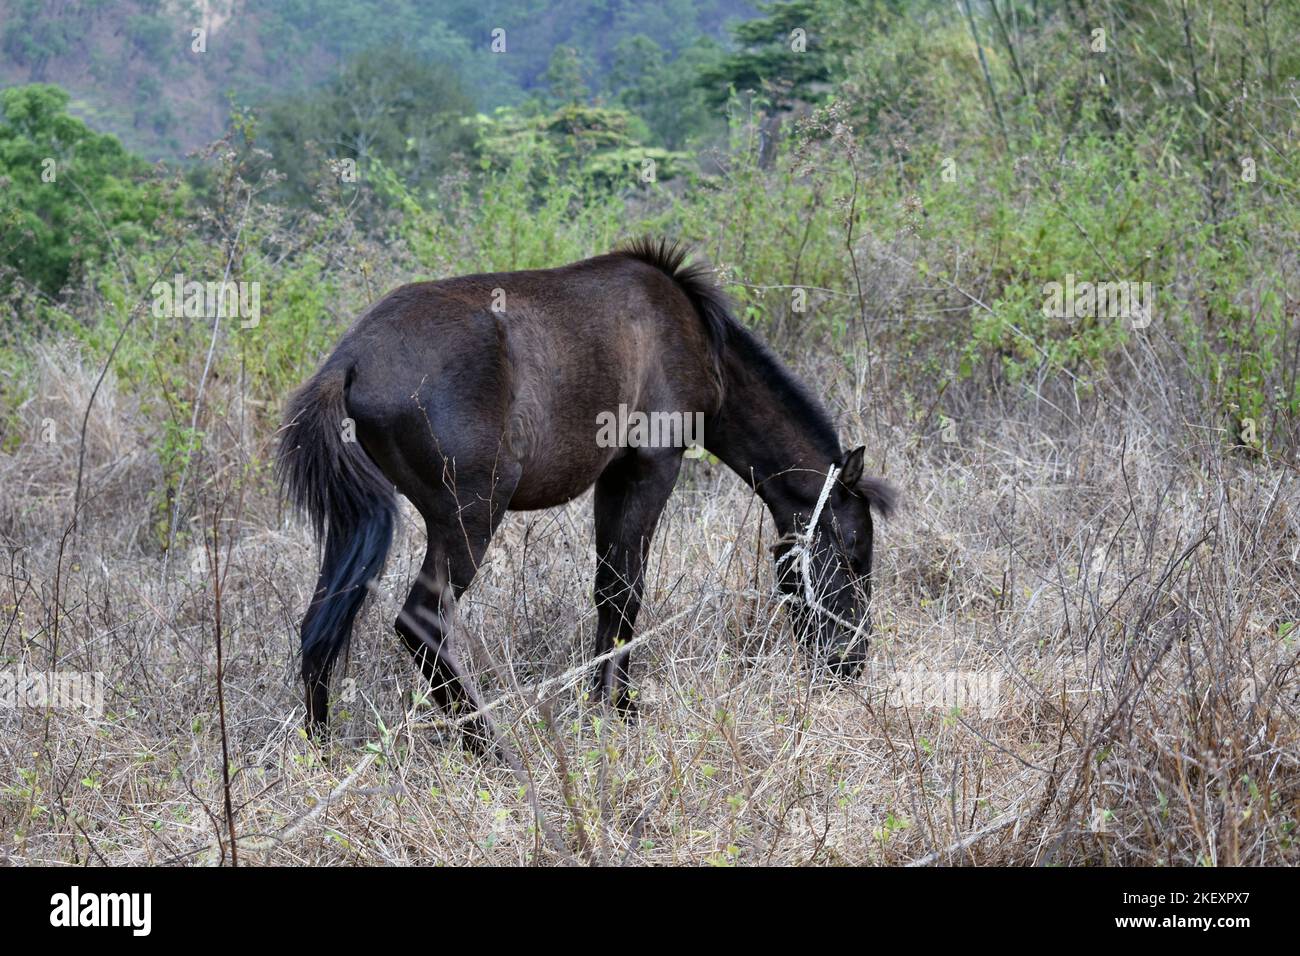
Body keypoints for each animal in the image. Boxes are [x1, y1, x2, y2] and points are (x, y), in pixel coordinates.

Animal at [276, 239, 894, 754]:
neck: (690, 331)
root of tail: (349, 362)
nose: (851, 663)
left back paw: (321, 752)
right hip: (470, 517)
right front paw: (618, 707)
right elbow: (626, 589)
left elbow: (607, 589)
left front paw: (605, 703)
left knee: (319, 627)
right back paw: (489, 747)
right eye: (853, 552)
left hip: (355, 528)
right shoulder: (651, 466)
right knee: (420, 624)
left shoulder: (612, 476)